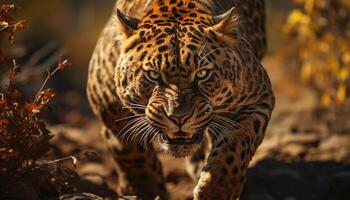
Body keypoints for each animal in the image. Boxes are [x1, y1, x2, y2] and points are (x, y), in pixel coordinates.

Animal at [87, 0, 274, 199]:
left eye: (202, 74)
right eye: (154, 75)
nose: (179, 118)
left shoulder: (257, 97)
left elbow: (236, 145)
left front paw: (218, 189)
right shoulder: (109, 110)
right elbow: (131, 153)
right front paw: (145, 190)